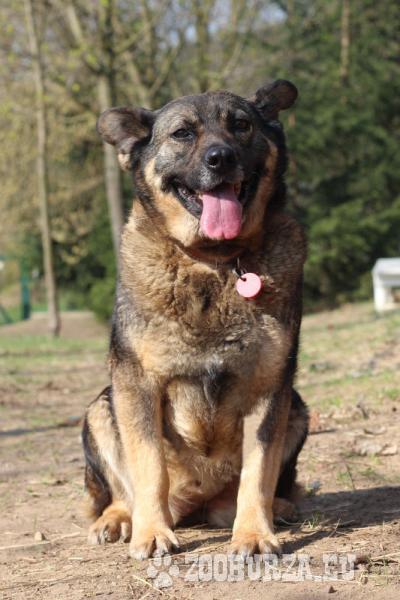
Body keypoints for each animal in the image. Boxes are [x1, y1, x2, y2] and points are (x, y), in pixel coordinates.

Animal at [82, 80, 309, 560]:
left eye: (241, 125)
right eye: (182, 134)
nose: (220, 157)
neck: (215, 264)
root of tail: (197, 504)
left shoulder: (270, 387)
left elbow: (258, 471)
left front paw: (253, 534)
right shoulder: (137, 384)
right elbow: (148, 465)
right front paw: (152, 533)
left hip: (297, 406)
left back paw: (277, 508)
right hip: (100, 410)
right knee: (120, 490)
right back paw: (119, 519)